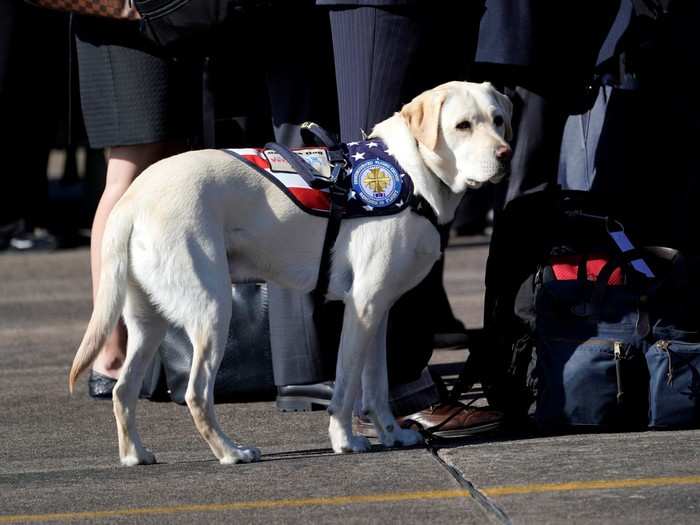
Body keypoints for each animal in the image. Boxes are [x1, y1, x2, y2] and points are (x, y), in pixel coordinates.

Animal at [68, 80, 512, 464]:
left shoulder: (379, 312)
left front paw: (392, 433)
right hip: (212, 312)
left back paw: (135, 455)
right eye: (462, 125)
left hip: (149, 321)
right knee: (196, 395)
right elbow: (347, 387)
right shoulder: (363, 307)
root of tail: (132, 197)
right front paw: (345, 440)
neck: (411, 171)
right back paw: (231, 452)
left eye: (498, 119)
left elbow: (377, 386)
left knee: (124, 390)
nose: (506, 154)